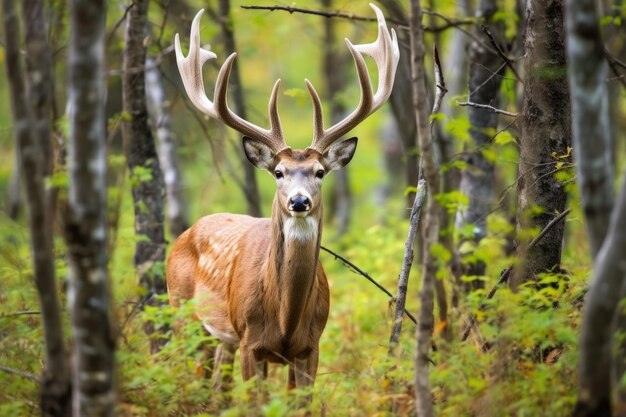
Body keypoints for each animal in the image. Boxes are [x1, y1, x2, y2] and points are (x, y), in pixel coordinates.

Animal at [166, 1, 398, 394]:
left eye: (320, 172)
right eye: (278, 172)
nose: (299, 202)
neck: (285, 319)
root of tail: (186, 233)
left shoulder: (311, 347)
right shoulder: (250, 342)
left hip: (222, 339)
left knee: (219, 388)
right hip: (183, 312)